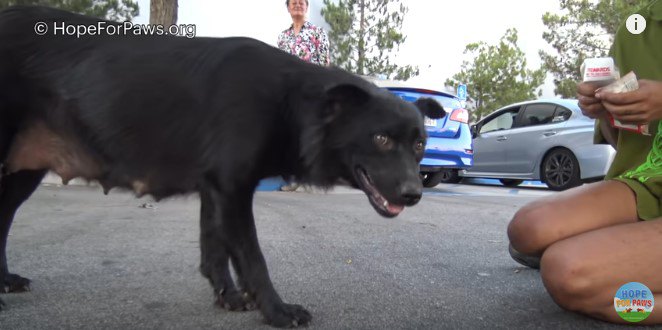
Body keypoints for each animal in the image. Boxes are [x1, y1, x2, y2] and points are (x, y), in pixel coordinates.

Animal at [0, 5, 446, 328]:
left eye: (419, 144)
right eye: (381, 139)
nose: (414, 194)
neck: (288, 101)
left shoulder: (215, 189)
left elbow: (213, 248)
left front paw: (228, 297)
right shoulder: (232, 189)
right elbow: (251, 257)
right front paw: (277, 311)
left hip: (23, 172)